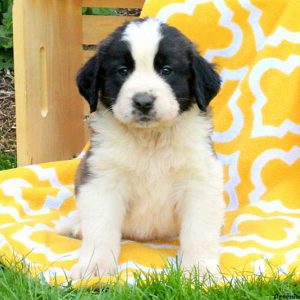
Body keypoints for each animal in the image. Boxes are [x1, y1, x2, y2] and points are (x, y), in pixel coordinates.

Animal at [56, 17, 225, 278]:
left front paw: (199, 269)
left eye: (166, 70)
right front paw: (94, 266)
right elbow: (100, 229)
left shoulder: (200, 180)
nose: (143, 102)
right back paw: (76, 226)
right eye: (122, 71)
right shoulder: (101, 180)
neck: (150, 140)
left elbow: (199, 232)